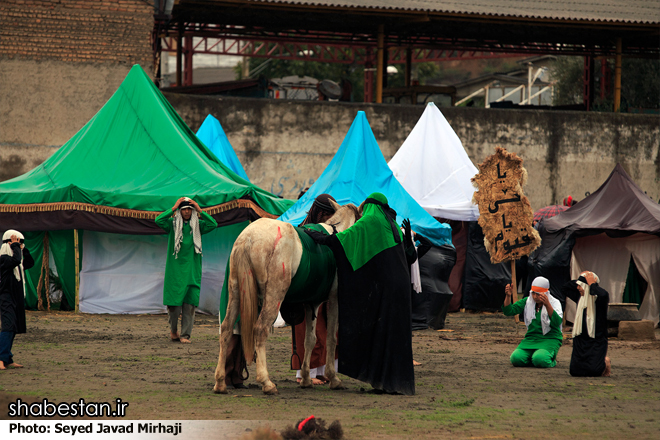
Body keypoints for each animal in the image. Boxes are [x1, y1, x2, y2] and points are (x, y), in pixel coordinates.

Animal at [214, 202, 360, 396]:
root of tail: (248, 238)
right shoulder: (334, 299)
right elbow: (331, 337)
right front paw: (333, 378)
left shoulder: (311, 302)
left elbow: (310, 339)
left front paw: (306, 379)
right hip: (274, 295)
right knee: (260, 329)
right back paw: (266, 382)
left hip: (236, 292)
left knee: (226, 329)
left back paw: (220, 382)